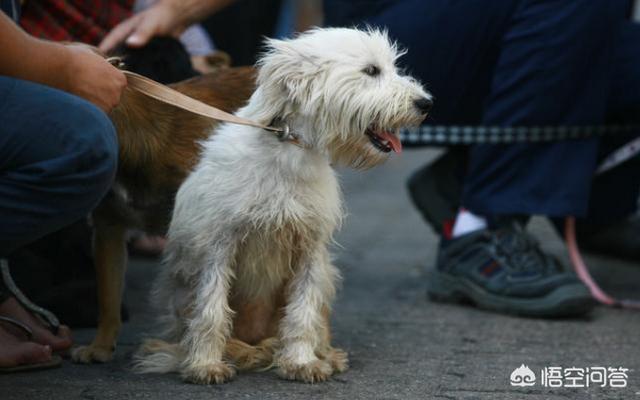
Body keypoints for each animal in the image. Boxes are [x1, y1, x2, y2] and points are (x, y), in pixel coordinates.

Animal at [136, 27, 432, 384]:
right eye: (371, 70)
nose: (426, 103)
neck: (289, 148)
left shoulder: (310, 249)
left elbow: (302, 312)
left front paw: (301, 361)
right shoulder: (218, 247)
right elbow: (211, 308)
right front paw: (205, 364)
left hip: (325, 275)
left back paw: (323, 354)